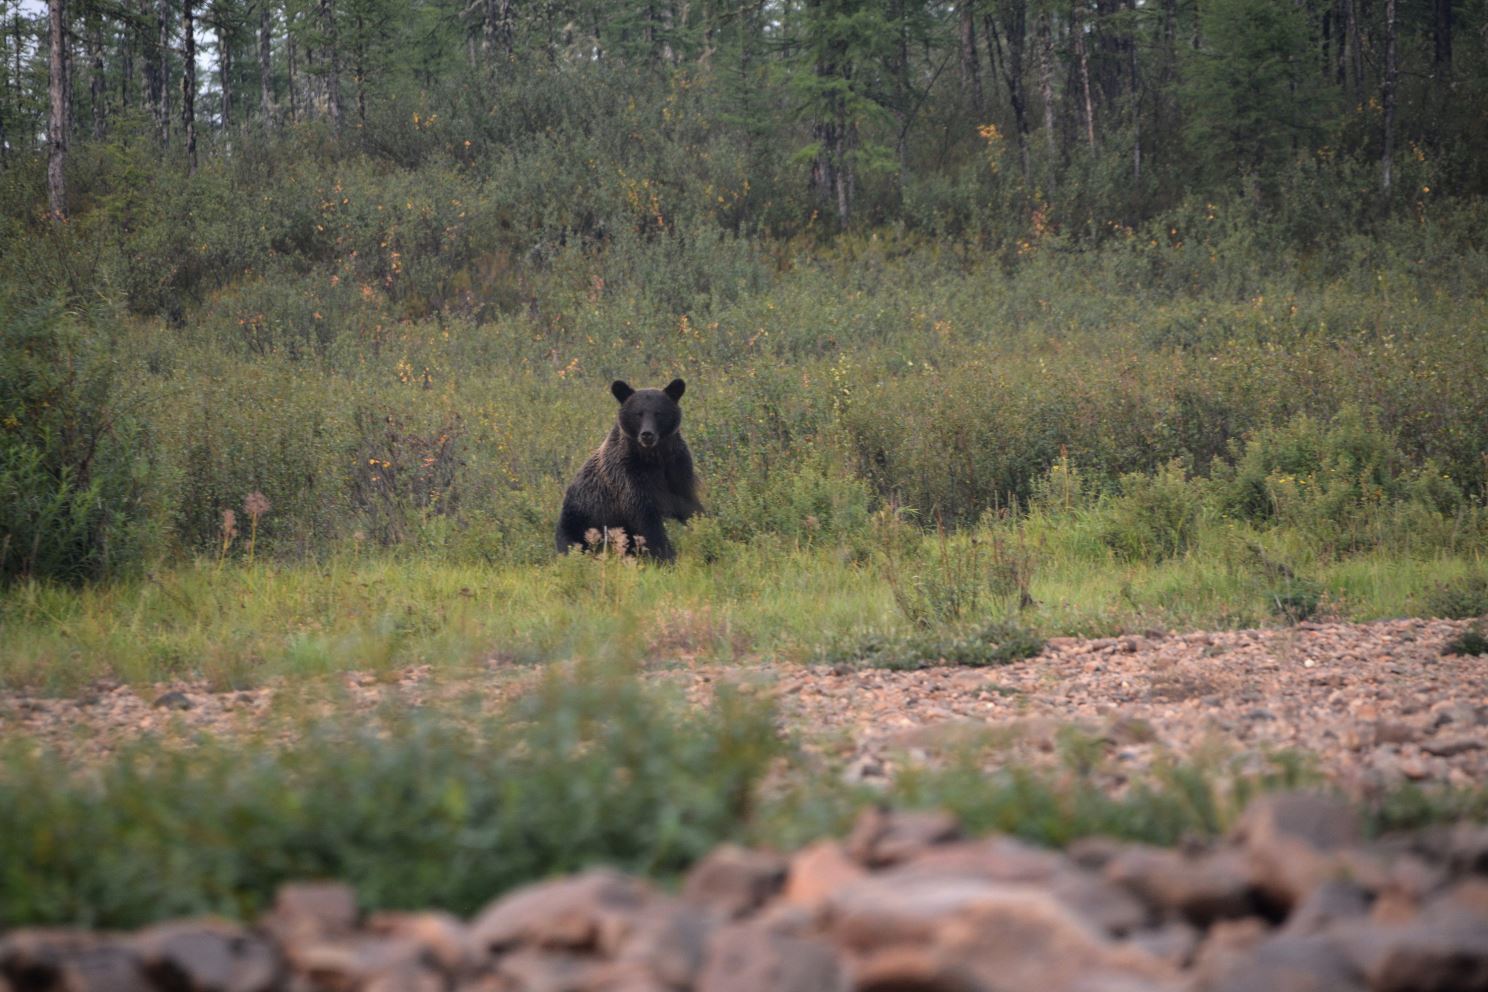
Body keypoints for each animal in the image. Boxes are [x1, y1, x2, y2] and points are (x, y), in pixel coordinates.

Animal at [555, 378, 702, 562]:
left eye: (658, 412)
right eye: (638, 413)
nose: (647, 434)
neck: (653, 457)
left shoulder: (676, 467)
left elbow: (689, 504)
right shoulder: (627, 475)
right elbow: (645, 518)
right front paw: (666, 556)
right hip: (580, 520)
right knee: (573, 543)